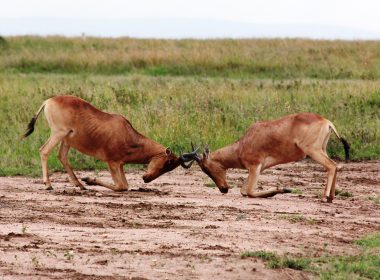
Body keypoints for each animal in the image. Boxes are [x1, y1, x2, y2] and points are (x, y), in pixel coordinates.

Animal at [23, 95, 196, 191]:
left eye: (171, 167)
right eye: (168, 162)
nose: (146, 178)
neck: (127, 134)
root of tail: (49, 101)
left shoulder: (120, 165)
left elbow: (125, 186)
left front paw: (87, 180)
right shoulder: (111, 162)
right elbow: (121, 187)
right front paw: (89, 179)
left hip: (66, 140)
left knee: (62, 157)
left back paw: (80, 185)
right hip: (58, 133)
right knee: (44, 151)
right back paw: (49, 185)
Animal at [186, 112, 348, 202]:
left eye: (206, 168)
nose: (223, 189)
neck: (243, 143)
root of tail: (327, 122)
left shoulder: (255, 167)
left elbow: (248, 192)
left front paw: (284, 189)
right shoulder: (256, 169)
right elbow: (244, 191)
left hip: (313, 150)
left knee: (331, 166)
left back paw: (324, 197)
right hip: (322, 149)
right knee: (335, 166)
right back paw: (331, 197)